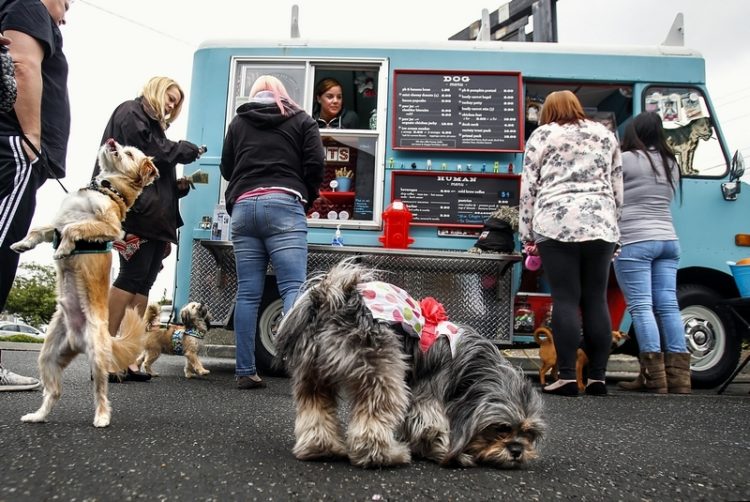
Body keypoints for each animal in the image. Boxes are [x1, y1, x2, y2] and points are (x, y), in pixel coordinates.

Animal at [9, 138, 160, 428]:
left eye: (128, 153)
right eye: (124, 146)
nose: (111, 140)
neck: (106, 189)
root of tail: (77, 340)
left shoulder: (110, 228)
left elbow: (74, 229)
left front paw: (63, 249)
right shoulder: (54, 225)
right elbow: (39, 229)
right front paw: (21, 244)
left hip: (98, 356)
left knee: (101, 392)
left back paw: (102, 417)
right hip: (48, 355)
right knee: (54, 391)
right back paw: (38, 415)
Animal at [276, 258, 548, 470]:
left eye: (528, 433)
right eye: (501, 429)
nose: (517, 451)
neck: (470, 368)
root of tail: (335, 298)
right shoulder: (430, 394)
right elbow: (431, 425)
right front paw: (452, 455)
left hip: (313, 374)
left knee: (315, 410)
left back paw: (323, 449)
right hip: (382, 372)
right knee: (373, 420)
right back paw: (385, 456)